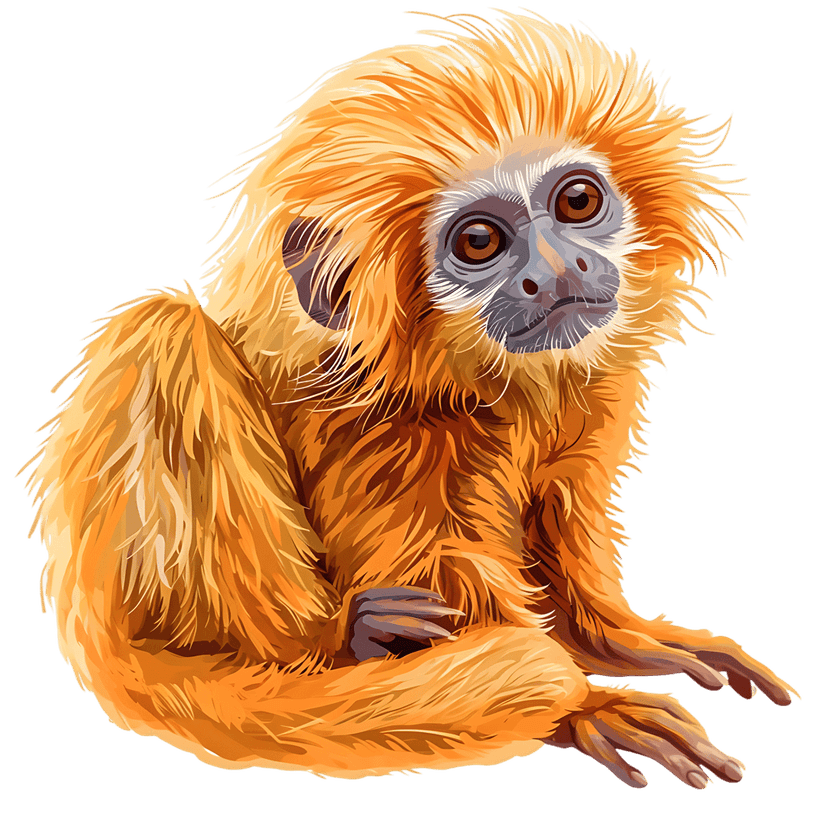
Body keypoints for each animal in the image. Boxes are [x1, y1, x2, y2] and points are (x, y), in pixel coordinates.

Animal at [20, 9, 800, 788]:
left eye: (577, 202)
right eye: (480, 241)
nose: (557, 270)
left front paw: (619, 643)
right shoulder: (390, 431)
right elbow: (445, 572)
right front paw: (584, 706)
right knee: (162, 331)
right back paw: (337, 643)